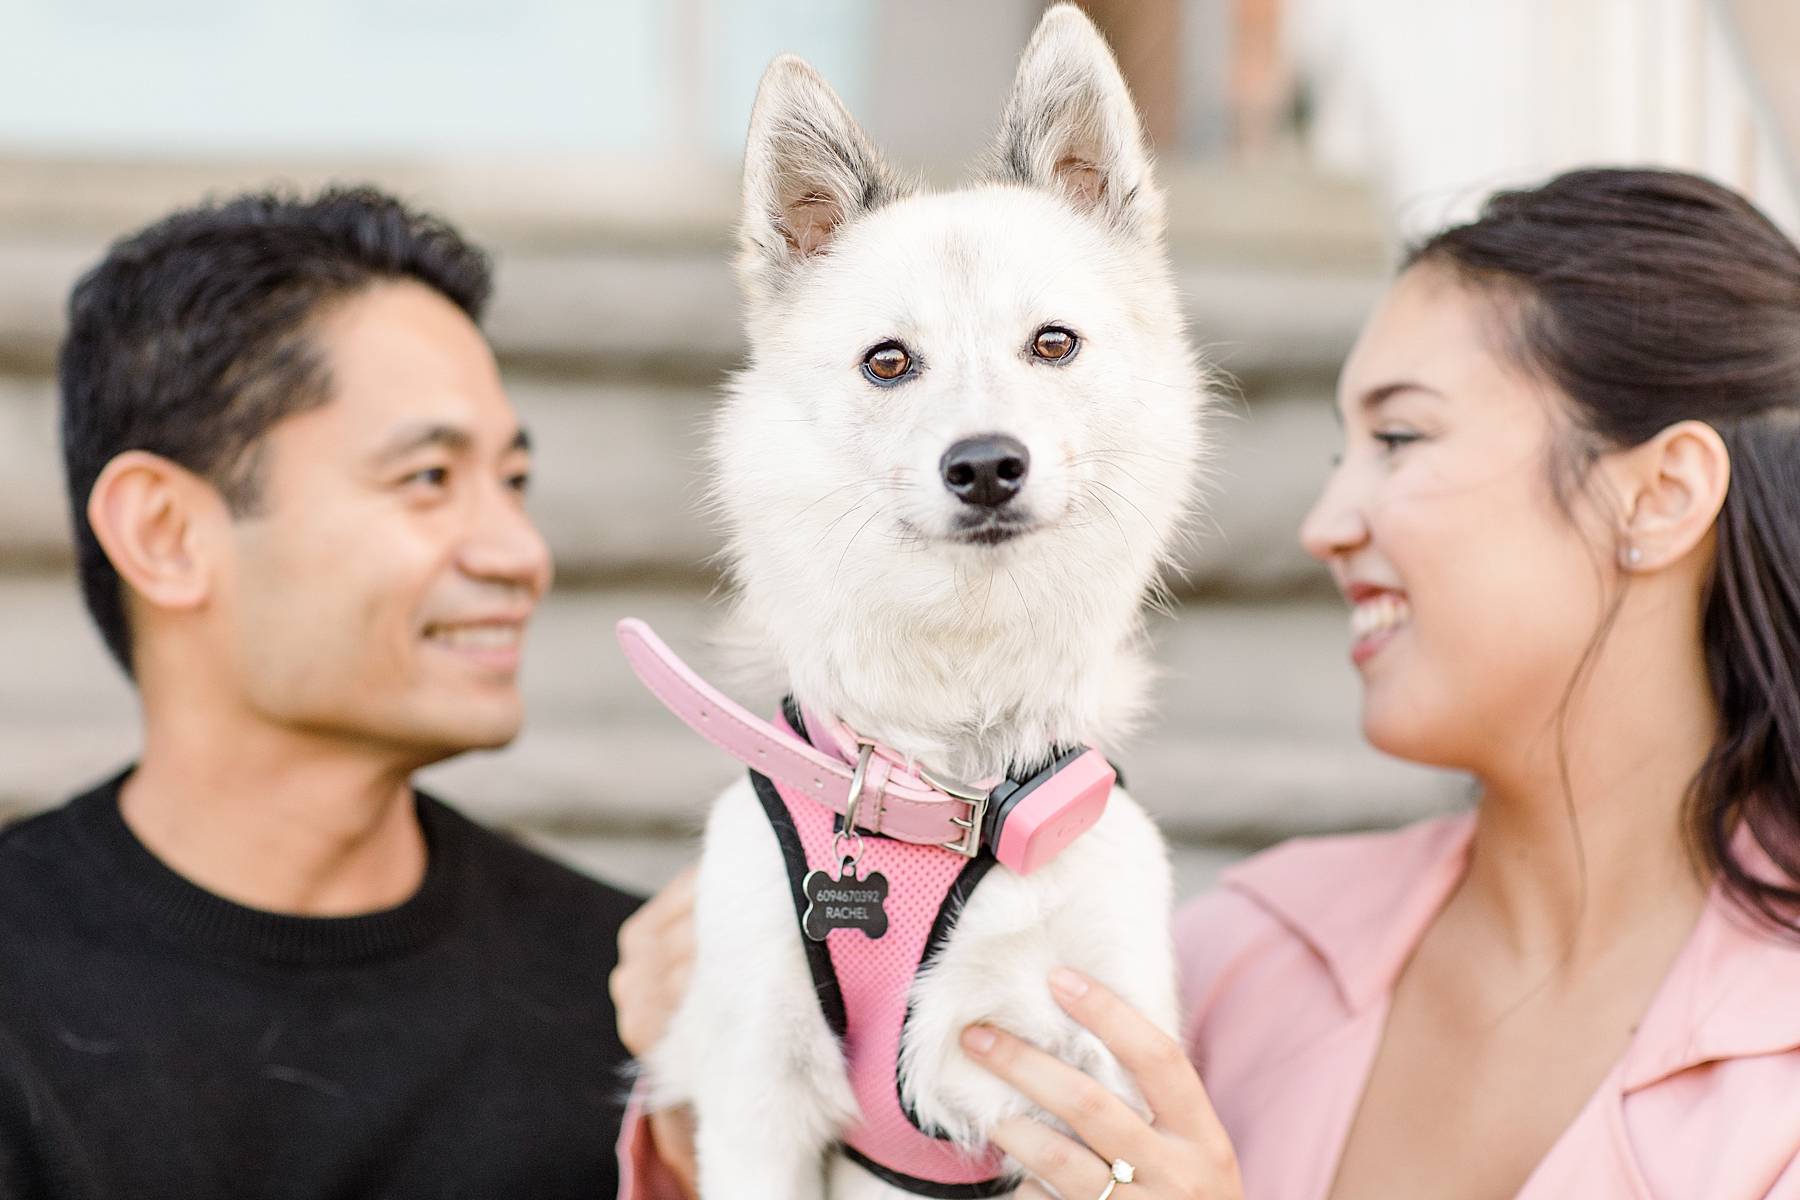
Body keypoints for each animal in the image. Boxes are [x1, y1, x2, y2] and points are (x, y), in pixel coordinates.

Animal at [633, 4, 1209, 1194]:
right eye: (888, 363)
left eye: (1054, 343)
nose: (985, 466)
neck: (955, 794)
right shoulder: (757, 1096)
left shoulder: (1098, 1071)